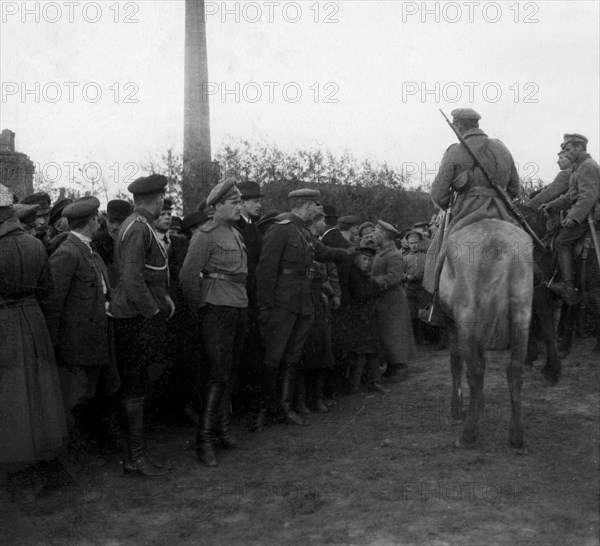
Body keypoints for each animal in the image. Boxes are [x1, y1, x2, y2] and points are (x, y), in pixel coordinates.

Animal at [438, 217, 532, 446]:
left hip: (467, 317)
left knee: (474, 370)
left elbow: (456, 362)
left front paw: (457, 409)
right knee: (515, 369)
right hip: (521, 312)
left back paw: (468, 434)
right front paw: (479, 406)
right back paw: (516, 437)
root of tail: (497, 241)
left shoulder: (452, 324)